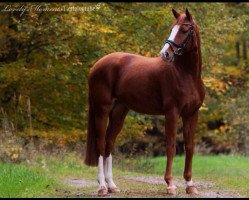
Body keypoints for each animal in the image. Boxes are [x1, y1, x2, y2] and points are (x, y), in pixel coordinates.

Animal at [84, 8, 205, 196]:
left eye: (184, 30)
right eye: (171, 29)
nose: (165, 54)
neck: (186, 75)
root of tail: (96, 66)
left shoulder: (192, 114)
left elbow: (190, 147)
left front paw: (190, 185)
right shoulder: (172, 113)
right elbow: (171, 146)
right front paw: (170, 184)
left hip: (119, 112)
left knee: (109, 143)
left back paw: (112, 185)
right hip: (101, 110)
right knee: (101, 143)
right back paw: (102, 186)